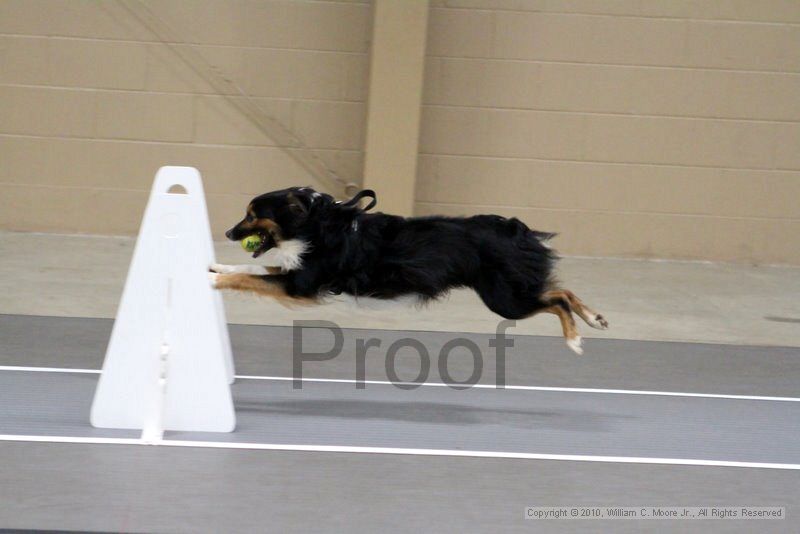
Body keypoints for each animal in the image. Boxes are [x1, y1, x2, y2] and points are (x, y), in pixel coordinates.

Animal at [209, 186, 608, 354]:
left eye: (251, 215)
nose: (228, 233)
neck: (316, 223)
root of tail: (514, 228)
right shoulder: (296, 272)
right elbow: (251, 267)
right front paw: (214, 265)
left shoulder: (302, 285)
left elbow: (248, 276)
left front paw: (215, 281)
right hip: (512, 291)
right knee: (560, 290)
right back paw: (594, 318)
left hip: (504, 299)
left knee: (556, 300)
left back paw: (574, 338)